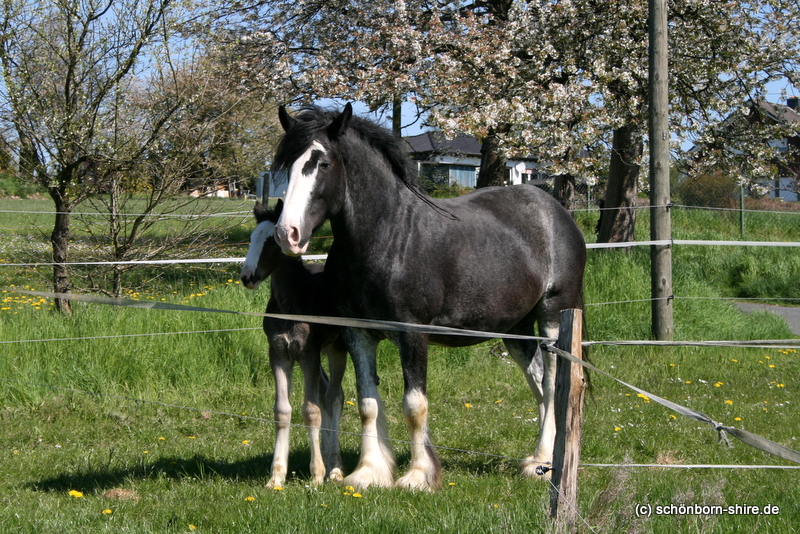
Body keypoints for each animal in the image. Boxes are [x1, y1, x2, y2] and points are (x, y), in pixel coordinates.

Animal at [241, 201, 346, 490]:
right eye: (251, 239)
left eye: (272, 241)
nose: (247, 277)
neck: (290, 303)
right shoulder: (279, 353)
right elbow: (282, 410)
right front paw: (276, 476)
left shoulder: (308, 353)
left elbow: (311, 410)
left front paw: (317, 474)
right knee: (327, 393)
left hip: (336, 348)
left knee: (334, 397)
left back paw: (335, 469)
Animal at [274, 104, 580, 494]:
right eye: (288, 165)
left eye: (323, 163)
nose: (287, 234)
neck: (387, 237)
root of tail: (553, 210)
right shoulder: (358, 334)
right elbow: (367, 403)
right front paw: (370, 472)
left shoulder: (412, 334)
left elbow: (414, 405)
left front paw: (419, 475)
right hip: (517, 330)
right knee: (539, 384)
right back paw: (538, 460)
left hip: (553, 316)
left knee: (553, 384)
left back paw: (544, 461)